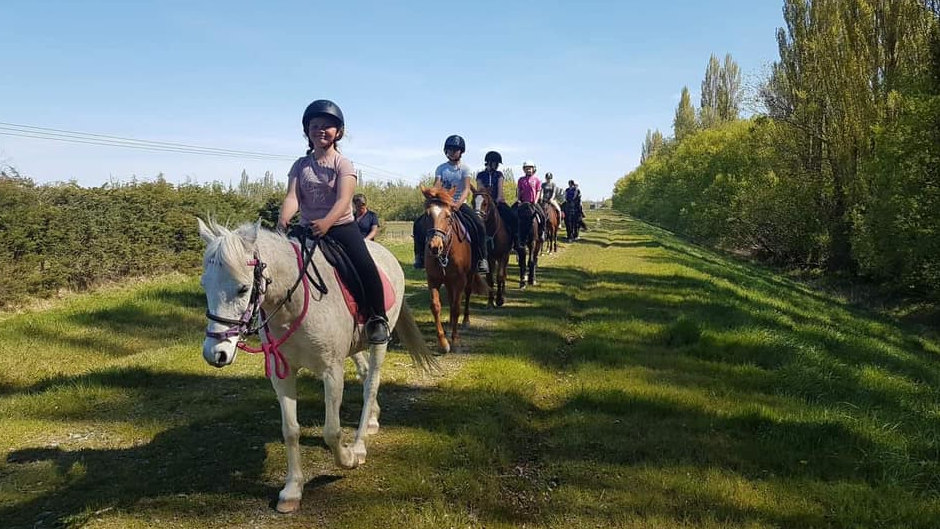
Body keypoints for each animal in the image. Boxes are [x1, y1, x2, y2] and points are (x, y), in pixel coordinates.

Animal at [200, 218, 436, 512]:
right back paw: (371, 420)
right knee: (365, 374)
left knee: (372, 383)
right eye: (204, 286)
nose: (215, 353)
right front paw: (292, 491)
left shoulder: (331, 372)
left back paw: (360, 444)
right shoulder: (282, 374)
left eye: (243, 288)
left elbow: (331, 432)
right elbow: (290, 430)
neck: (295, 302)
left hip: (378, 341)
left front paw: (348, 459)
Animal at [420, 184, 488, 352]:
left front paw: (455, 340)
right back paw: (451, 324)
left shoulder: (460, 280)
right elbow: (436, 306)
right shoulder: (433, 279)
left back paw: (465, 321)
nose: (434, 247)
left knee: (467, 294)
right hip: (448, 280)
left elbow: (457, 306)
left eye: (448, 216)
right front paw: (443, 342)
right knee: (451, 298)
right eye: (427, 215)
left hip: (468, 276)